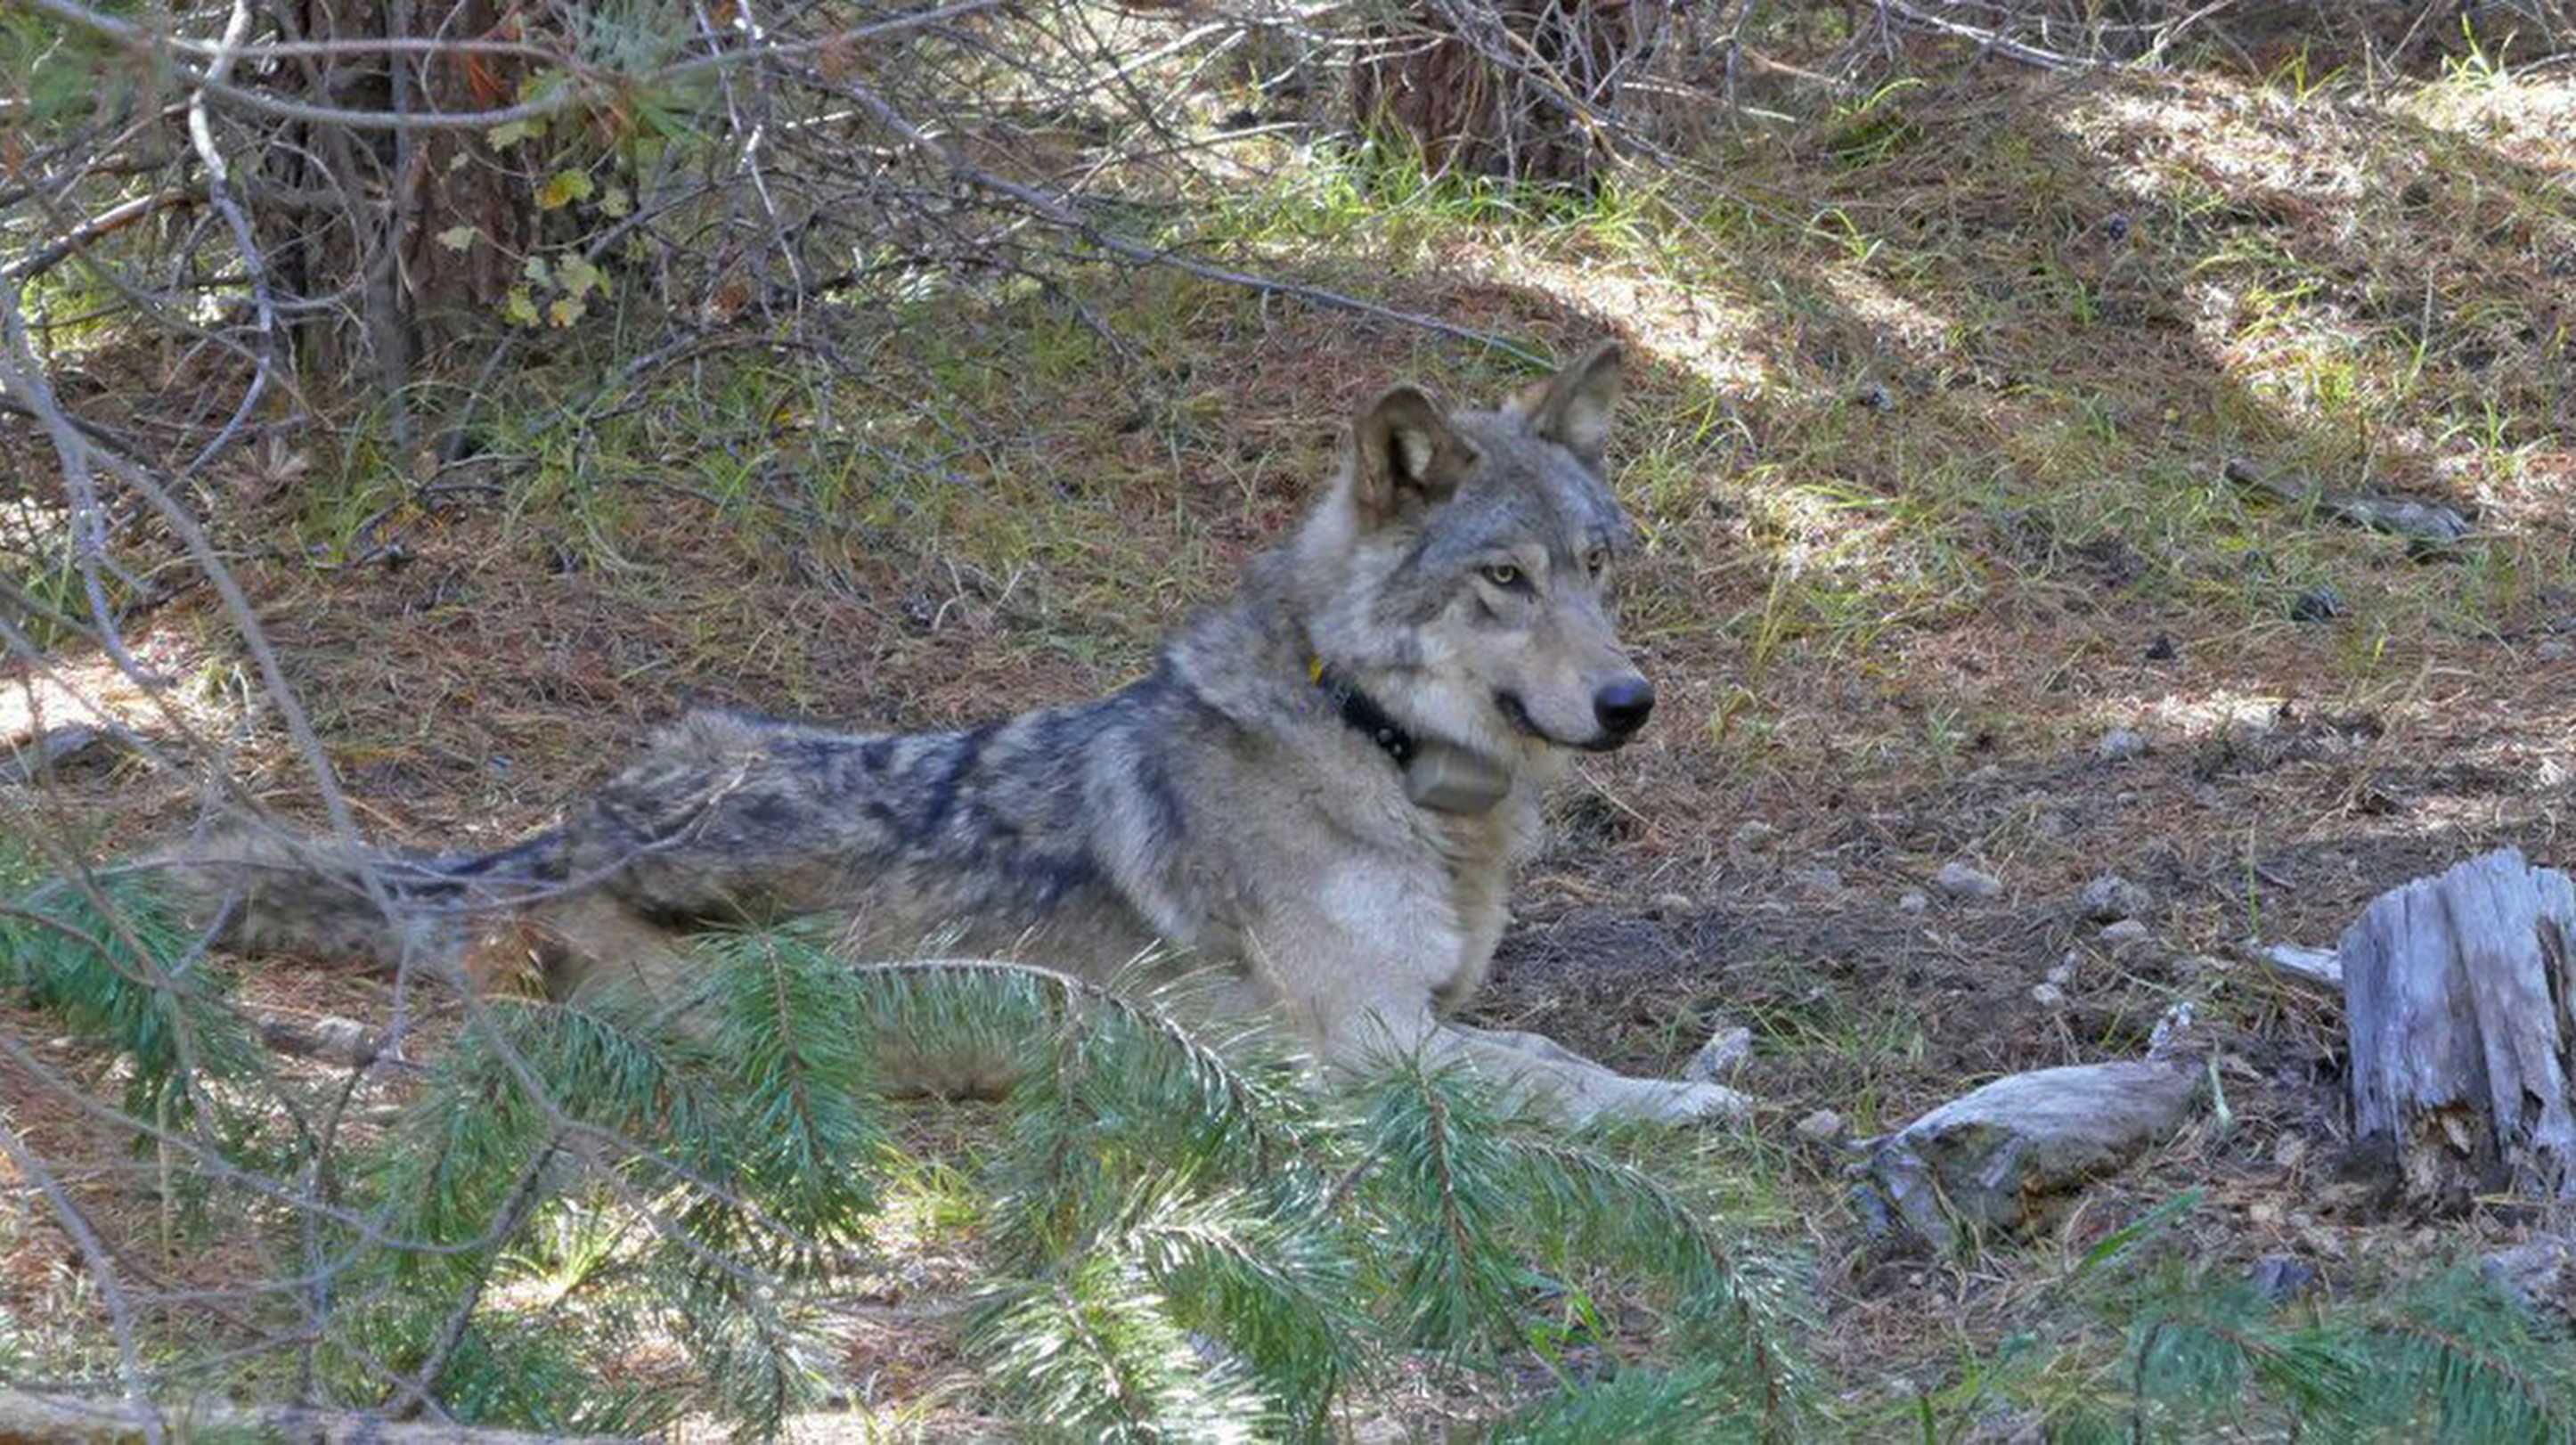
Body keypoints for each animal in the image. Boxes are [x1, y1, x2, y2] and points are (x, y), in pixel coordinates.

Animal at [176, 339, 1751, 1128]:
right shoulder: (1368, 1041)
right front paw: (1685, 1101)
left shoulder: (1428, 1008)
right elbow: (1558, 1075)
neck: (1376, 750)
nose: (1632, 702)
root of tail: (561, 833)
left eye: (1597, 566)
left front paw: (1713, 1057)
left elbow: (1536, 1037)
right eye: (1506, 578)